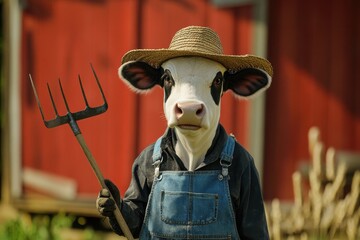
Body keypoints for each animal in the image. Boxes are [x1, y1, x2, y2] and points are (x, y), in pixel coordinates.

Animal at [97, 25, 272, 239]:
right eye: (167, 78)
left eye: (218, 80)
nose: (189, 109)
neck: (191, 154)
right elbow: (135, 212)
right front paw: (110, 197)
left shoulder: (248, 170)